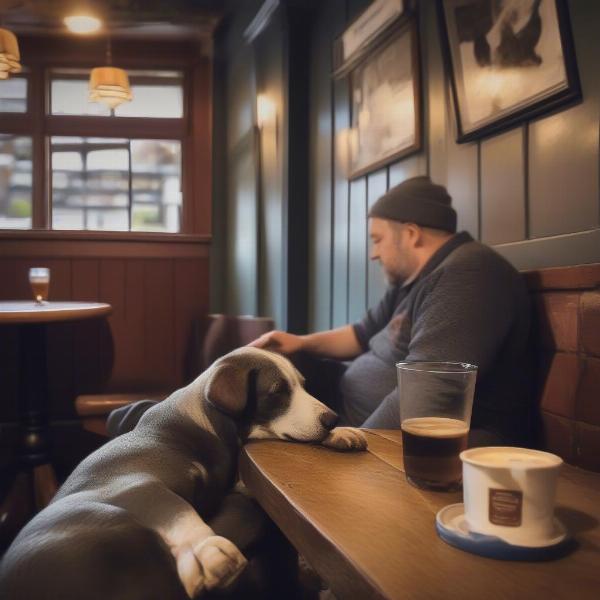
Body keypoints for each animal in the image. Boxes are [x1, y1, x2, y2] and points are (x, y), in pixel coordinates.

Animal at [0, 346, 368, 600]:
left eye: (303, 386)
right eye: (277, 391)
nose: (332, 418)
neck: (201, 424)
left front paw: (342, 433)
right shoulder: (132, 485)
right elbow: (176, 509)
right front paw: (208, 550)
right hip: (108, 518)